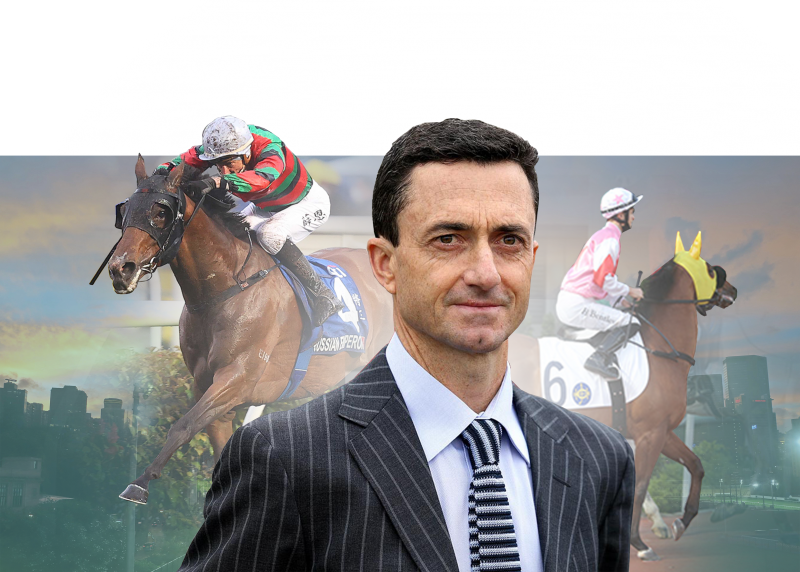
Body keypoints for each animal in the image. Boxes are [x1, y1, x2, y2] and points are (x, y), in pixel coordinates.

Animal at [109, 157, 393, 504]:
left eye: (160, 212)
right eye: (125, 210)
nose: (120, 268)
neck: (227, 289)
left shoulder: (238, 379)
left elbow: (182, 426)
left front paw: (139, 484)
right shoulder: (206, 387)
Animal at [509, 232, 737, 561]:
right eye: (709, 269)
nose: (733, 289)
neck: (659, 350)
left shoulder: (660, 431)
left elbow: (696, 464)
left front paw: (680, 520)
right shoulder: (650, 434)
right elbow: (640, 485)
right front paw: (639, 543)